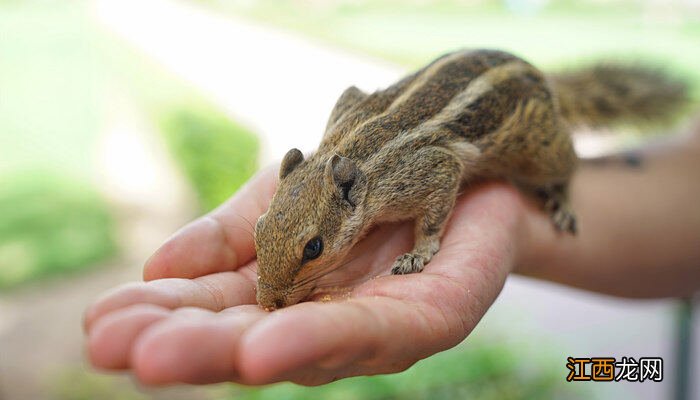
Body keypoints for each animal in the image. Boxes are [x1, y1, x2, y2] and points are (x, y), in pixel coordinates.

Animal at [252, 47, 684, 310]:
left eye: (314, 248)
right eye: (258, 227)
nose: (267, 302)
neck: (354, 150)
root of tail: (545, 78)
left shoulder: (429, 170)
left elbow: (433, 215)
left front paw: (417, 253)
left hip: (541, 147)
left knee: (570, 161)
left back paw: (562, 200)